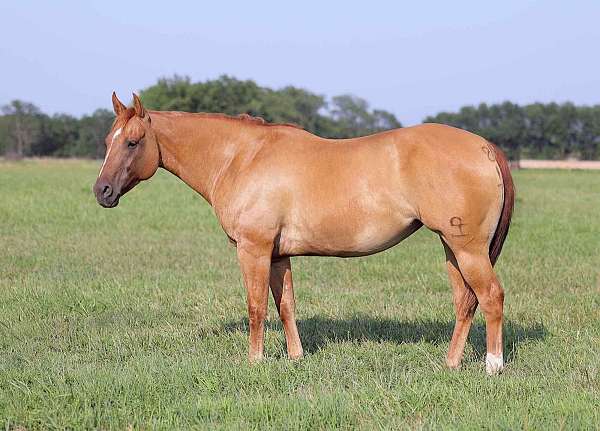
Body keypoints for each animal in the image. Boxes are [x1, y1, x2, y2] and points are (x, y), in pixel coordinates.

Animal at [95, 92, 516, 374]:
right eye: (107, 141)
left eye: (132, 142)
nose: (102, 192)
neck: (242, 157)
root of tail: (485, 147)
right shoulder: (279, 254)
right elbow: (286, 305)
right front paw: (295, 357)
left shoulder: (254, 249)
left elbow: (256, 306)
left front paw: (254, 361)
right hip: (452, 249)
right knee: (465, 302)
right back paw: (450, 364)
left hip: (468, 250)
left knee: (491, 296)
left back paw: (492, 366)